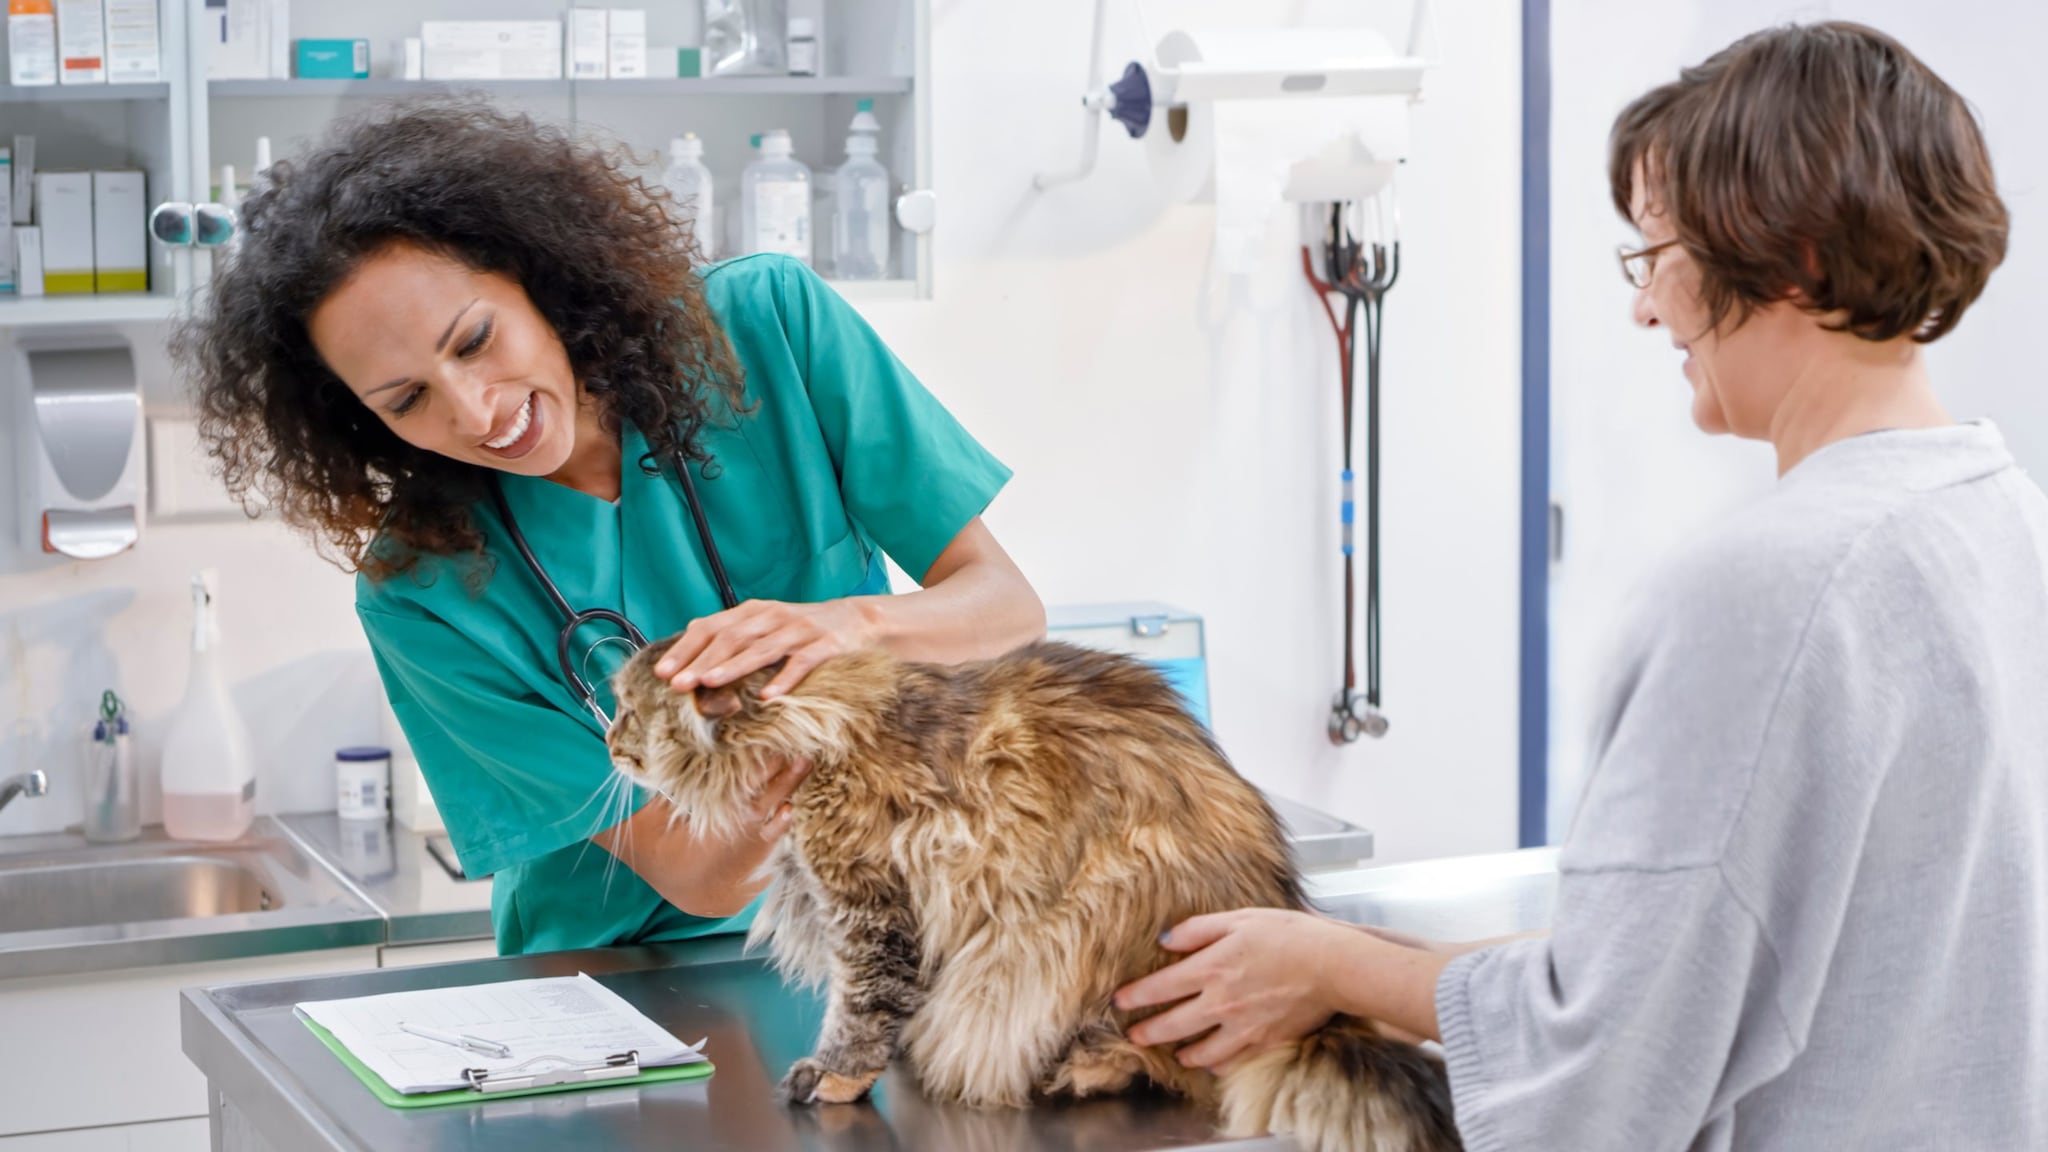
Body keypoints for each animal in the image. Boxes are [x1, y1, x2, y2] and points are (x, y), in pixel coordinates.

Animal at [602, 635, 1458, 1147]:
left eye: (628, 711)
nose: (607, 743)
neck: (814, 726)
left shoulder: (869, 905)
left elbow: (863, 1006)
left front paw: (837, 1075)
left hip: (1079, 924)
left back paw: (1084, 1068)